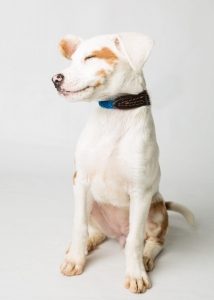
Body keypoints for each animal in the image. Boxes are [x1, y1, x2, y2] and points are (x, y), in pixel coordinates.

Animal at [51, 32, 194, 292]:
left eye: (91, 57)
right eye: (72, 60)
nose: (56, 78)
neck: (114, 114)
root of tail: (117, 233)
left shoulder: (141, 192)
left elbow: (136, 241)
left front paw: (135, 274)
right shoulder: (81, 181)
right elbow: (79, 226)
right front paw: (75, 259)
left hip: (156, 208)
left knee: (154, 241)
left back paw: (146, 258)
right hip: (92, 203)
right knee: (96, 231)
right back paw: (88, 244)